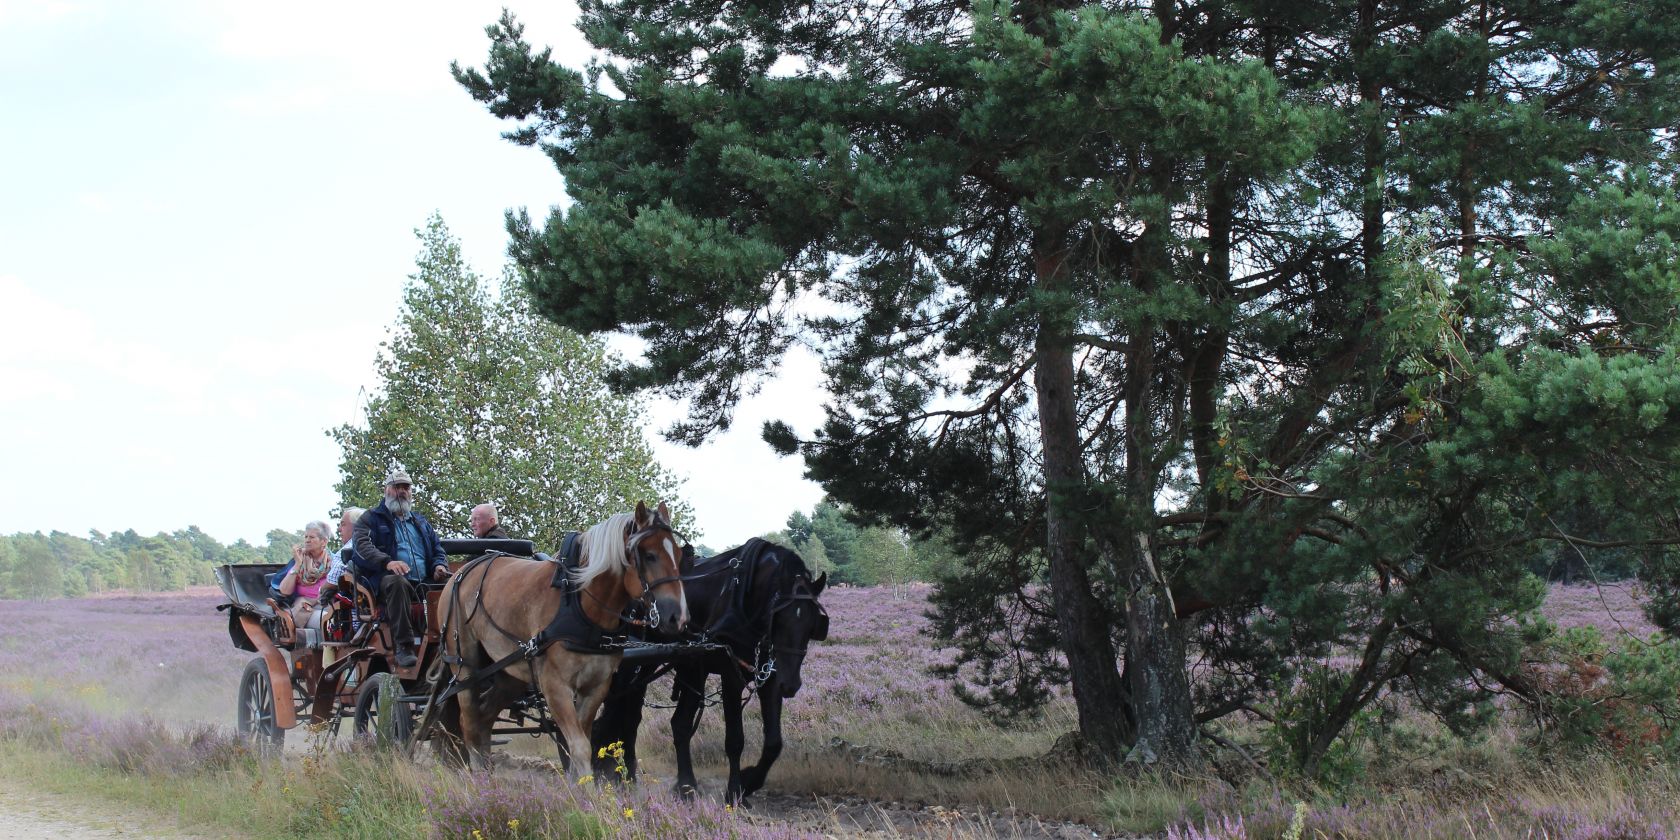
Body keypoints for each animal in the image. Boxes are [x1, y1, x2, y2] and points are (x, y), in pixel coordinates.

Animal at [443, 497, 692, 772]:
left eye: (679, 555)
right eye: (649, 555)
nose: (678, 616)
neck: (581, 605)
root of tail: (460, 572)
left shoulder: (596, 685)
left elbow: (581, 743)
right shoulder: (555, 686)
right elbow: (580, 746)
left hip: (510, 672)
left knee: (484, 718)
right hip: (466, 666)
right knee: (469, 722)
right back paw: (478, 772)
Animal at [591, 540, 826, 803]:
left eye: (812, 623)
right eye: (778, 618)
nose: (791, 684)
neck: (744, 600)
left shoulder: (770, 676)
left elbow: (774, 743)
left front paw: (750, 781)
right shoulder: (731, 674)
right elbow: (735, 740)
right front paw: (734, 792)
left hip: (688, 667)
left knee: (673, 723)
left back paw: (679, 785)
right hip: (639, 663)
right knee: (630, 716)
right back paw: (628, 776)